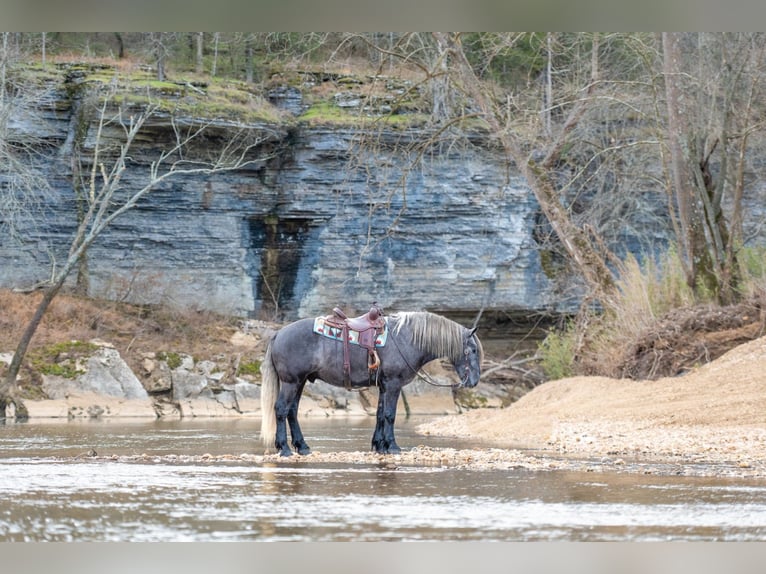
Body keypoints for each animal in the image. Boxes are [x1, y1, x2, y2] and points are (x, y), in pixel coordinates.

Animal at [259, 310, 483, 456]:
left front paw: (379, 445)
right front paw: (392, 447)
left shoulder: (384, 386)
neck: (406, 339)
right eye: (472, 350)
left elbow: (380, 415)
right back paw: (284, 448)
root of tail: (278, 334)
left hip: (300, 382)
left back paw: (302, 447)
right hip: (291, 382)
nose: (473, 382)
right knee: (281, 409)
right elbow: (390, 415)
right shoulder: (393, 384)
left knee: (292, 411)